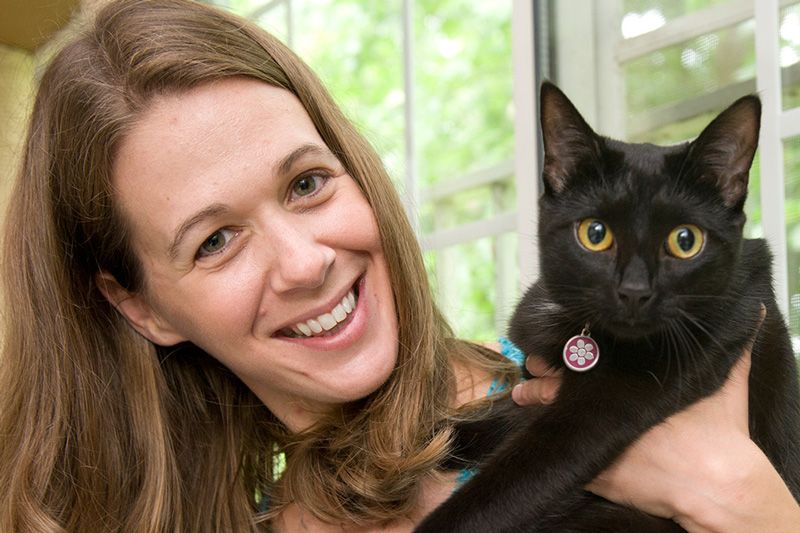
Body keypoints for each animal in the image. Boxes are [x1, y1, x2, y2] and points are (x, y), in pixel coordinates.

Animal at [416, 81, 800, 528]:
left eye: (685, 240)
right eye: (594, 233)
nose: (634, 290)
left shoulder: (603, 410)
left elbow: (508, 484)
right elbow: (487, 415)